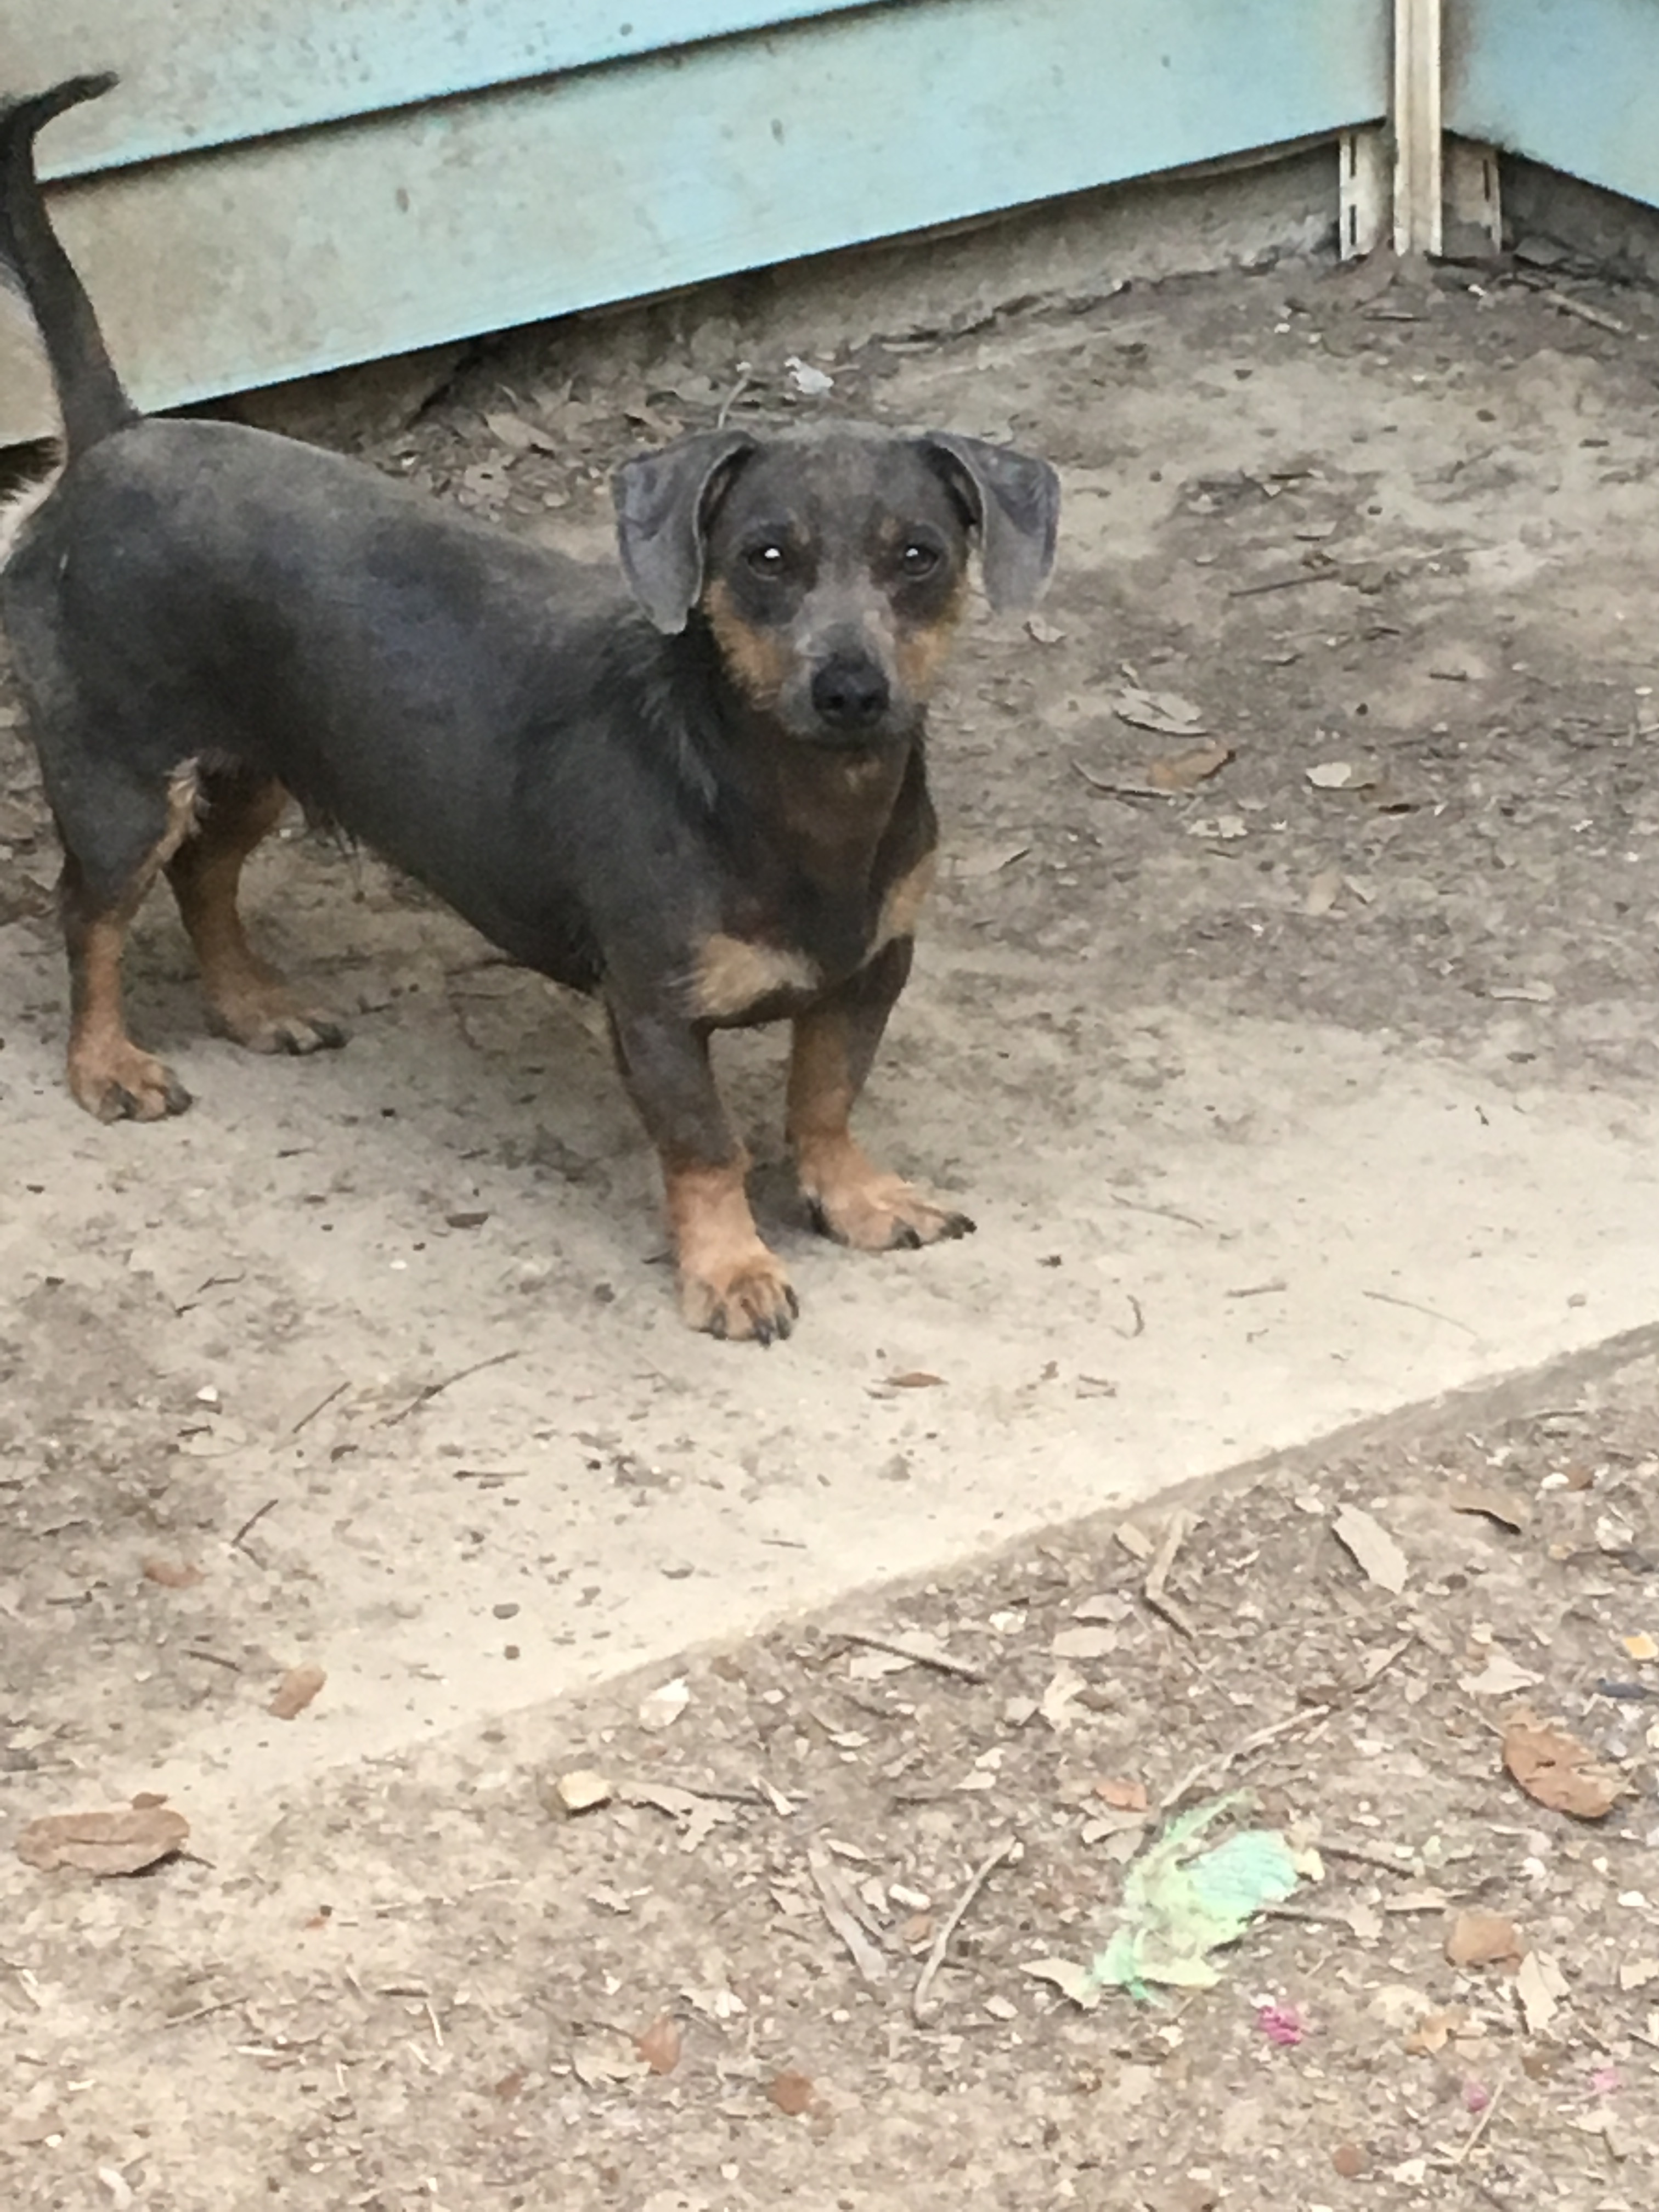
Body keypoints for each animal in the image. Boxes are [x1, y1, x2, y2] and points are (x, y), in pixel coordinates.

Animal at [0, 74, 1066, 1327]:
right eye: (763, 557)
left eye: (918, 557)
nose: (851, 689)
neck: (793, 801)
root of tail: (112, 440)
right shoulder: (653, 1010)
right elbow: (708, 1147)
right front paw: (732, 1269)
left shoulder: (869, 976)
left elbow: (825, 1101)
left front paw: (855, 1198)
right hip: (121, 784)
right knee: (91, 912)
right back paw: (105, 1066)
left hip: (253, 766)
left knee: (204, 874)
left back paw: (251, 1004)